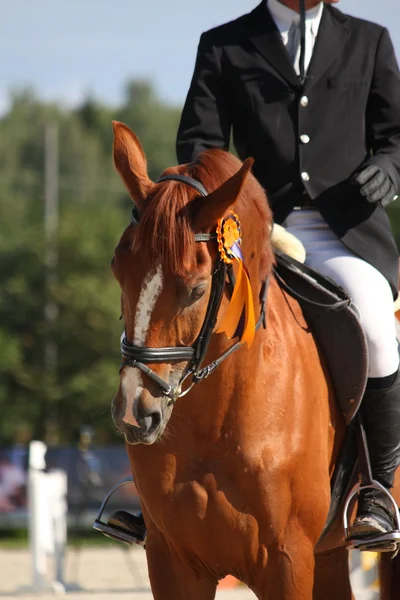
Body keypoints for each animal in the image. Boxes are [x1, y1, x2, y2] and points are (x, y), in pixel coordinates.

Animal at [109, 119, 400, 596]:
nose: (135, 412)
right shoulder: (172, 562)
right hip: (328, 555)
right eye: (118, 270)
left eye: (196, 288)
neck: (214, 422)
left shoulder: (286, 559)